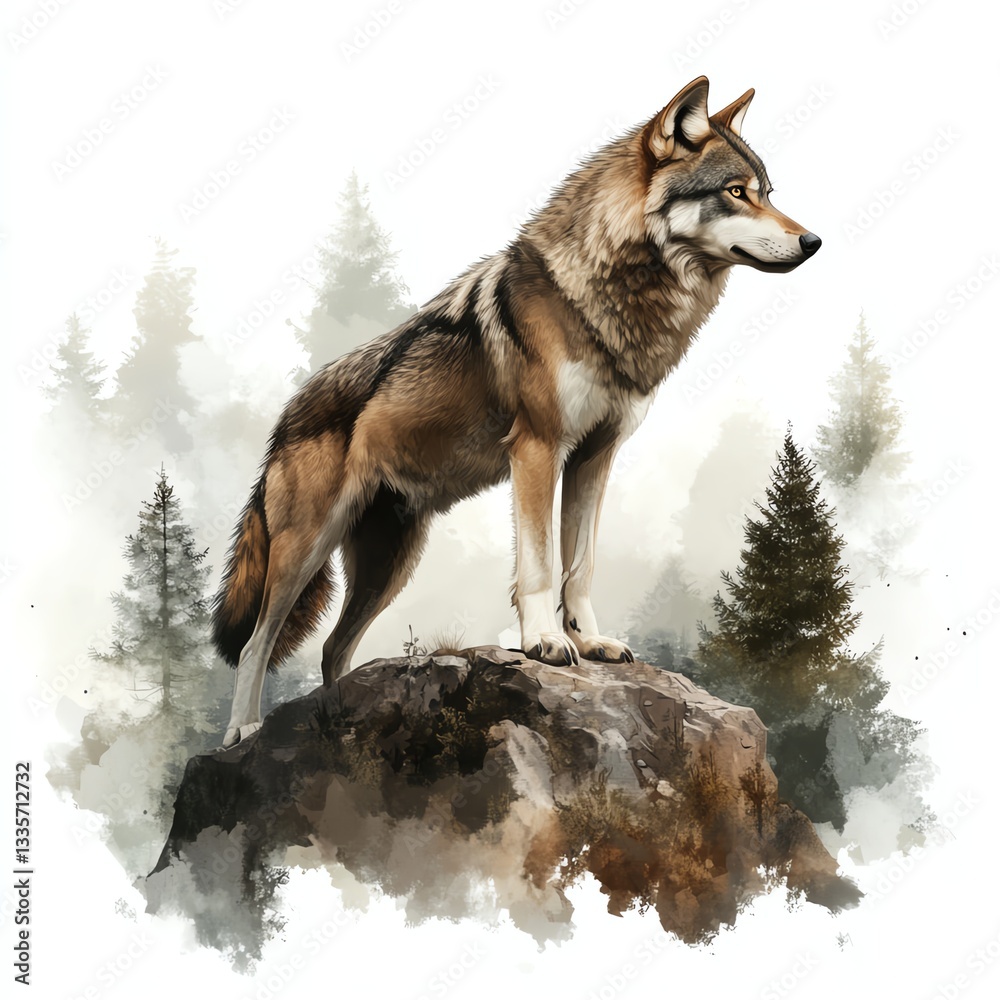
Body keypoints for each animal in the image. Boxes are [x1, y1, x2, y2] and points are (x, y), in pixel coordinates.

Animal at [212, 76, 821, 747]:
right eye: (736, 192)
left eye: (767, 193)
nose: (813, 241)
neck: (606, 298)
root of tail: (284, 417)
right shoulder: (537, 448)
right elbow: (539, 564)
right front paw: (544, 643)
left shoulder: (595, 457)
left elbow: (579, 566)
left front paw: (591, 640)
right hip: (308, 551)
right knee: (257, 644)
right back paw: (244, 731)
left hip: (387, 569)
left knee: (331, 650)